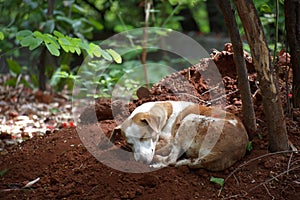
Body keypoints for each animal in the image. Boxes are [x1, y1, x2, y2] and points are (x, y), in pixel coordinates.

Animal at [110, 101, 248, 171]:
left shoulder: (169, 140)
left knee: (170, 160)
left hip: (189, 119)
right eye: (129, 144)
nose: (141, 161)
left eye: (144, 137)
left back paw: (157, 161)